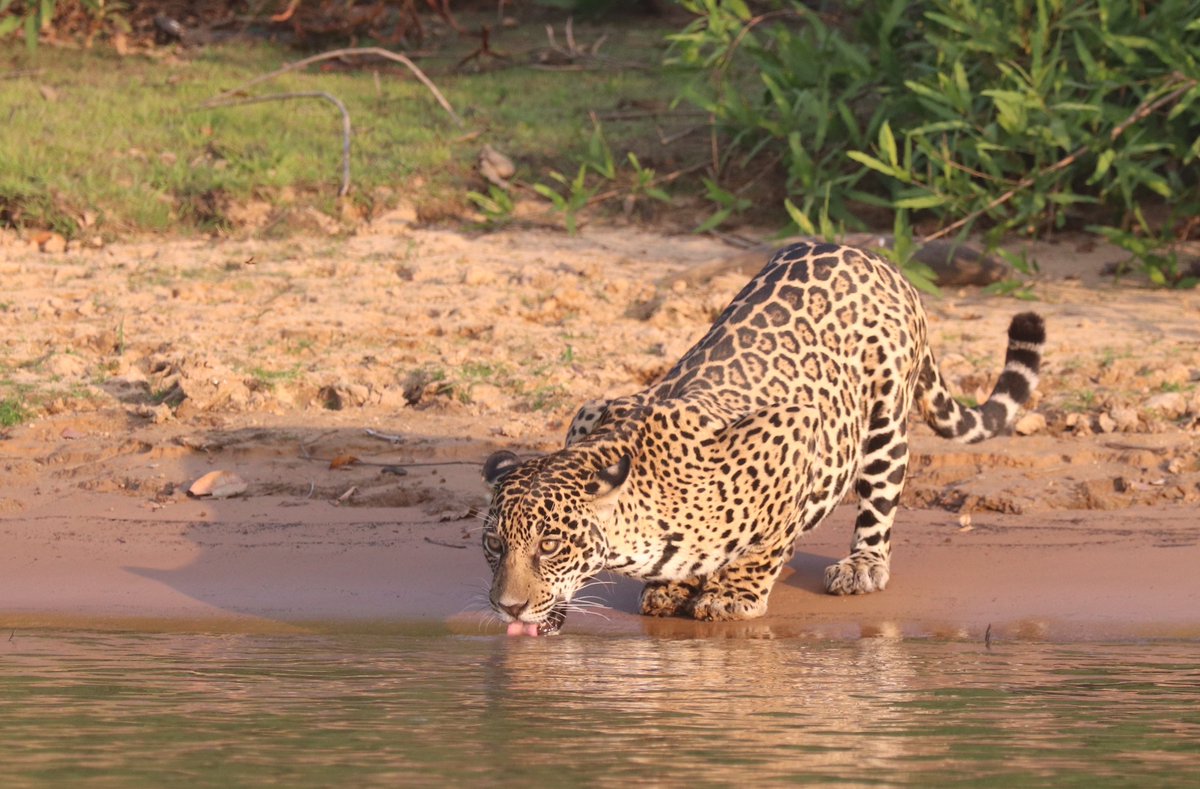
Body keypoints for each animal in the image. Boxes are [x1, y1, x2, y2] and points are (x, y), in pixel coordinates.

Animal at [480, 241, 1045, 636]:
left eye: (550, 545)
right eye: (493, 544)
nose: (508, 606)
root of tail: (870, 257)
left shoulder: (793, 428)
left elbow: (767, 539)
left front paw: (733, 594)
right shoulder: (592, 409)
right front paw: (673, 586)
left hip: (885, 418)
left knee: (879, 500)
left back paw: (862, 567)